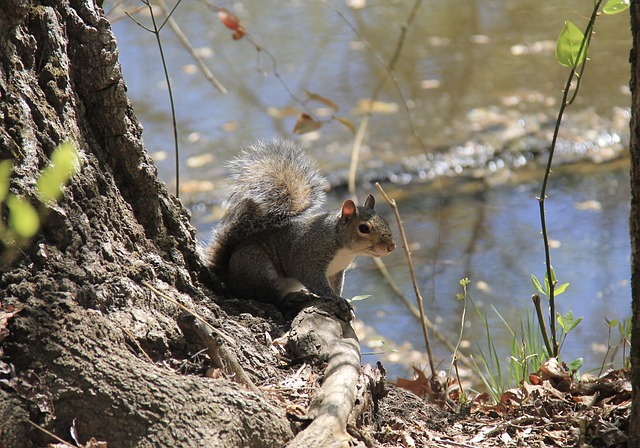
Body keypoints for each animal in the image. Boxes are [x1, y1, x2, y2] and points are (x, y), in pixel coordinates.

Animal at [206, 138, 396, 307]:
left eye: (385, 220)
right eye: (363, 228)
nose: (391, 247)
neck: (342, 247)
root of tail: (229, 278)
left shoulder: (336, 272)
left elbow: (336, 286)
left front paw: (342, 299)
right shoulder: (308, 258)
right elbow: (314, 281)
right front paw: (336, 299)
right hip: (259, 270)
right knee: (269, 298)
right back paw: (290, 298)